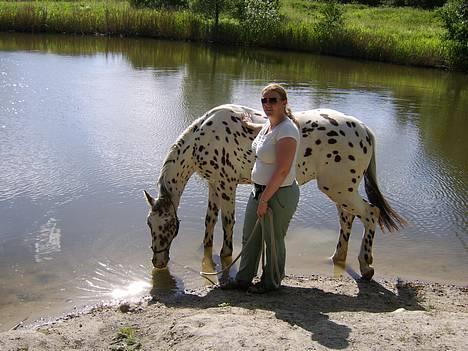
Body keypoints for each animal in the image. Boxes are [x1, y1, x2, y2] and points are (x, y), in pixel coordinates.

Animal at [144, 103, 404, 280]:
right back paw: (337, 258)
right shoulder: (214, 185)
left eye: (170, 227)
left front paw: (226, 254)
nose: (158, 261)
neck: (203, 136)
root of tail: (365, 130)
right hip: (342, 191)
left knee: (371, 214)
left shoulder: (227, 185)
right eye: (149, 224)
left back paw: (366, 266)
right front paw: (206, 251)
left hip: (339, 189)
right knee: (347, 219)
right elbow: (210, 221)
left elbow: (227, 224)